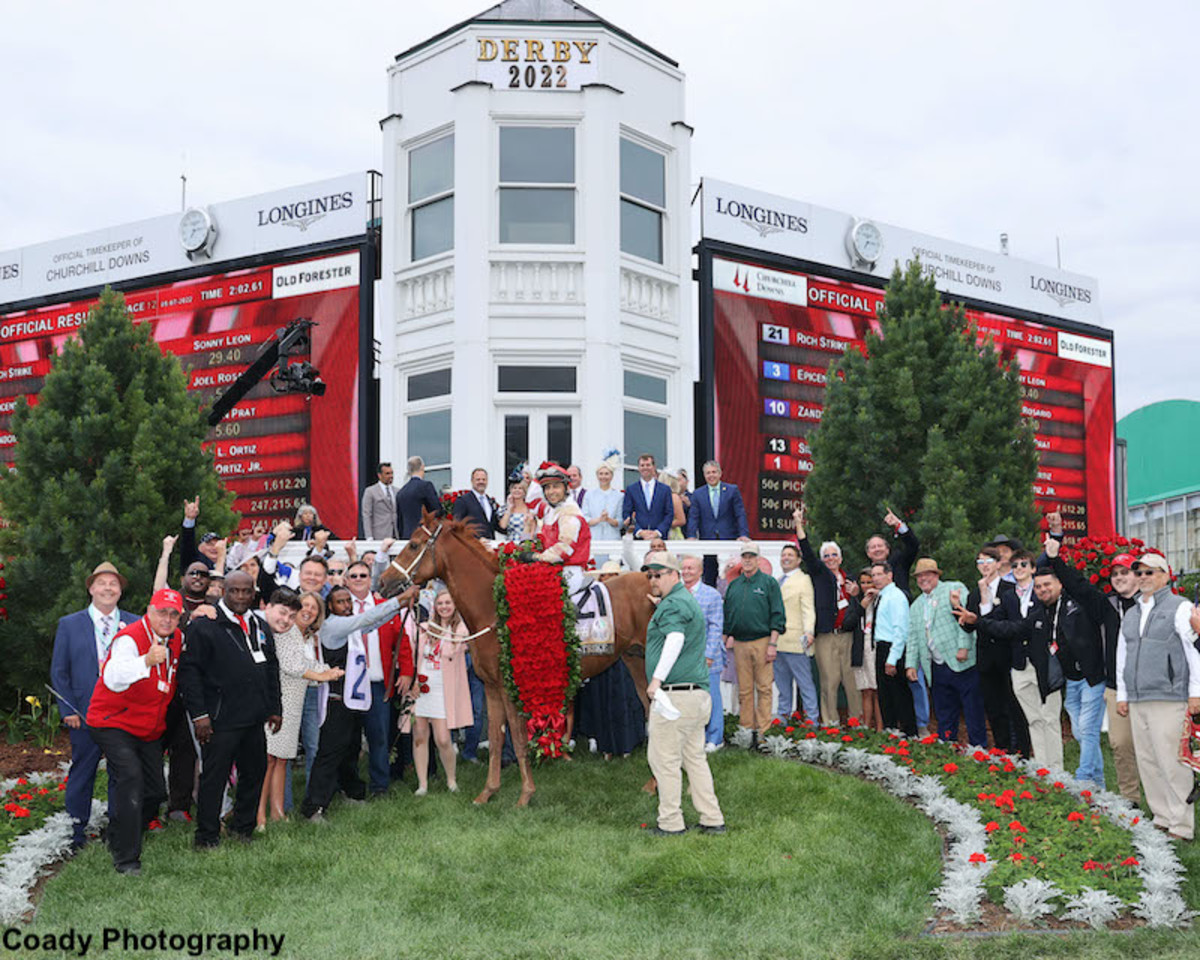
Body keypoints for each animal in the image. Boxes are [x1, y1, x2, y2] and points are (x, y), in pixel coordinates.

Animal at [379, 513, 652, 806]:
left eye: (414, 545)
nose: (383, 582)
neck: (494, 608)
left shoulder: (511, 687)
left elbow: (519, 739)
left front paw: (525, 794)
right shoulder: (491, 687)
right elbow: (496, 739)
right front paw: (488, 792)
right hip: (636, 660)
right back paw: (652, 783)